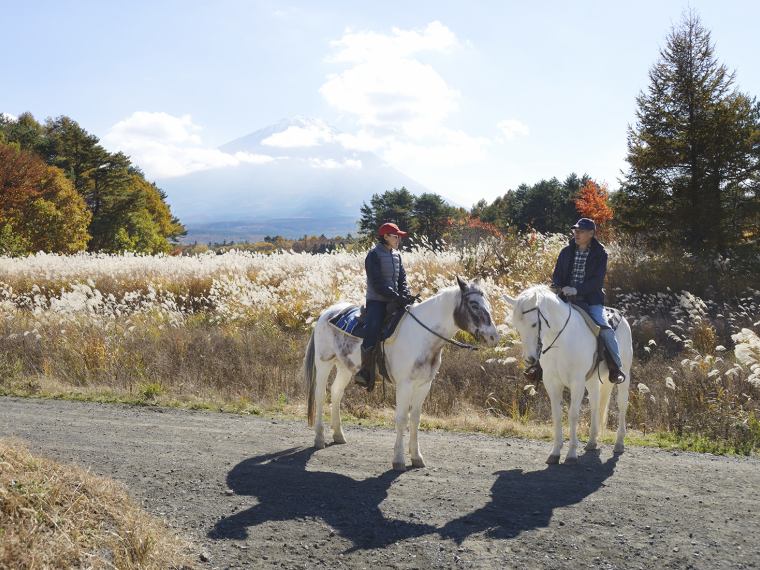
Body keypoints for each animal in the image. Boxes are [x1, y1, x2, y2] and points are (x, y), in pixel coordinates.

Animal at [302, 276, 498, 470]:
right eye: (474, 304)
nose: (494, 337)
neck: (421, 336)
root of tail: (326, 313)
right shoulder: (405, 385)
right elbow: (402, 419)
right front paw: (399, 459)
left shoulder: (424, 385)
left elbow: (415, 419)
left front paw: (417, 457)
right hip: (324, 363)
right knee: (321, 395)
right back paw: (319, 438)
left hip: (345, 367)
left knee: (336, 393)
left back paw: (338, 435)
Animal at [504, 284, 636, 462]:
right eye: (517, 326)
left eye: (533, 324)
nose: (530, 359)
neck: (560, 340)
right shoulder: (552, 383)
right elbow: (557, 415)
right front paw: (555, 452)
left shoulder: (577, 382)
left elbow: (573, 414)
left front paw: (572, 452)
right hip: (592, 380)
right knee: (595, 404)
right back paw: (592, 441)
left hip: (623, 377)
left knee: (622, 404)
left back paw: (619, 443)